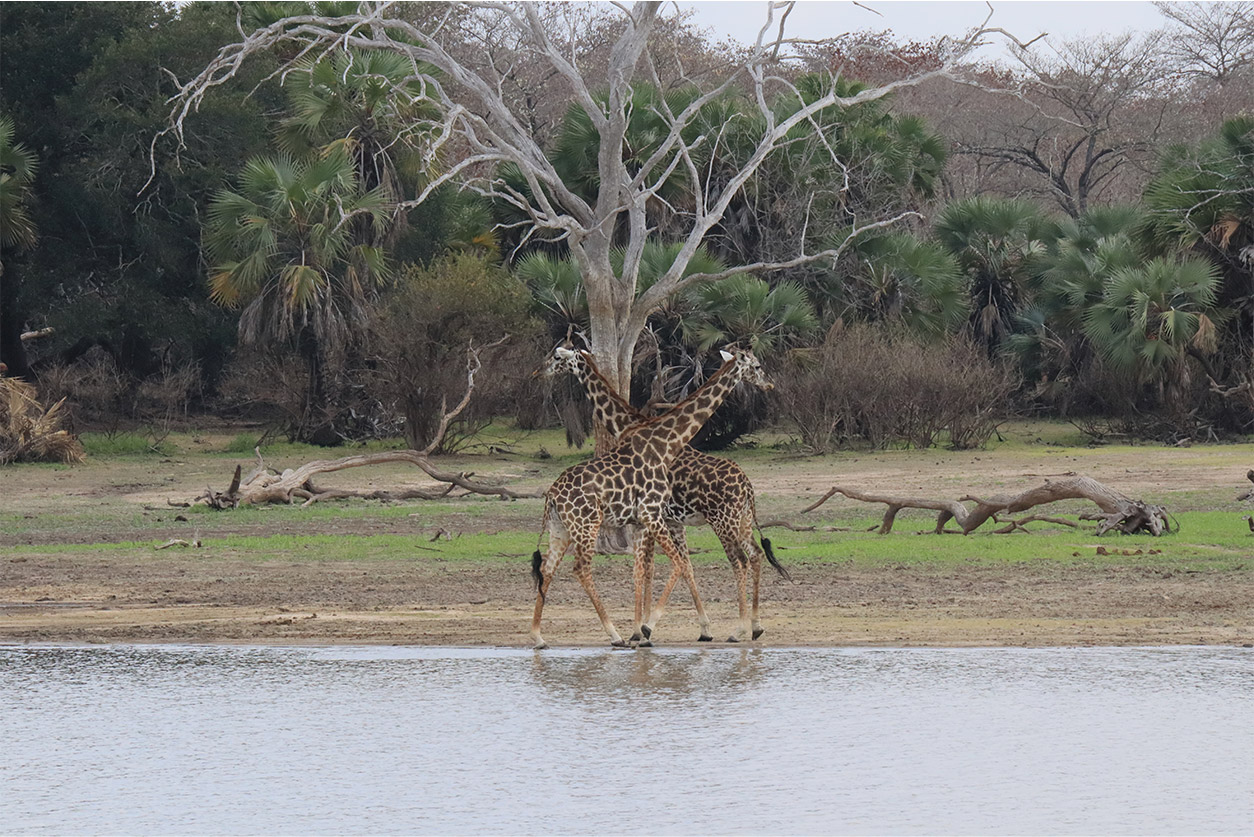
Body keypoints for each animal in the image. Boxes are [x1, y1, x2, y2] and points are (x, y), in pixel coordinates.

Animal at [542, 346, 790, 642]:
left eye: (557, 358)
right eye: (758, 366)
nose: (769, 384)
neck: (628, 425)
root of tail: (748, 485)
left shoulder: (656, 518)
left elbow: (648, 569)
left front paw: (643, 629)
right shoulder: (666, 520)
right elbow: (673, 568)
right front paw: (695, 629)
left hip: (723, 520)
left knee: (739, 560)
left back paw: (738, 629)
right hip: (741, 520)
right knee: (754, 555)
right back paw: (754, 626)